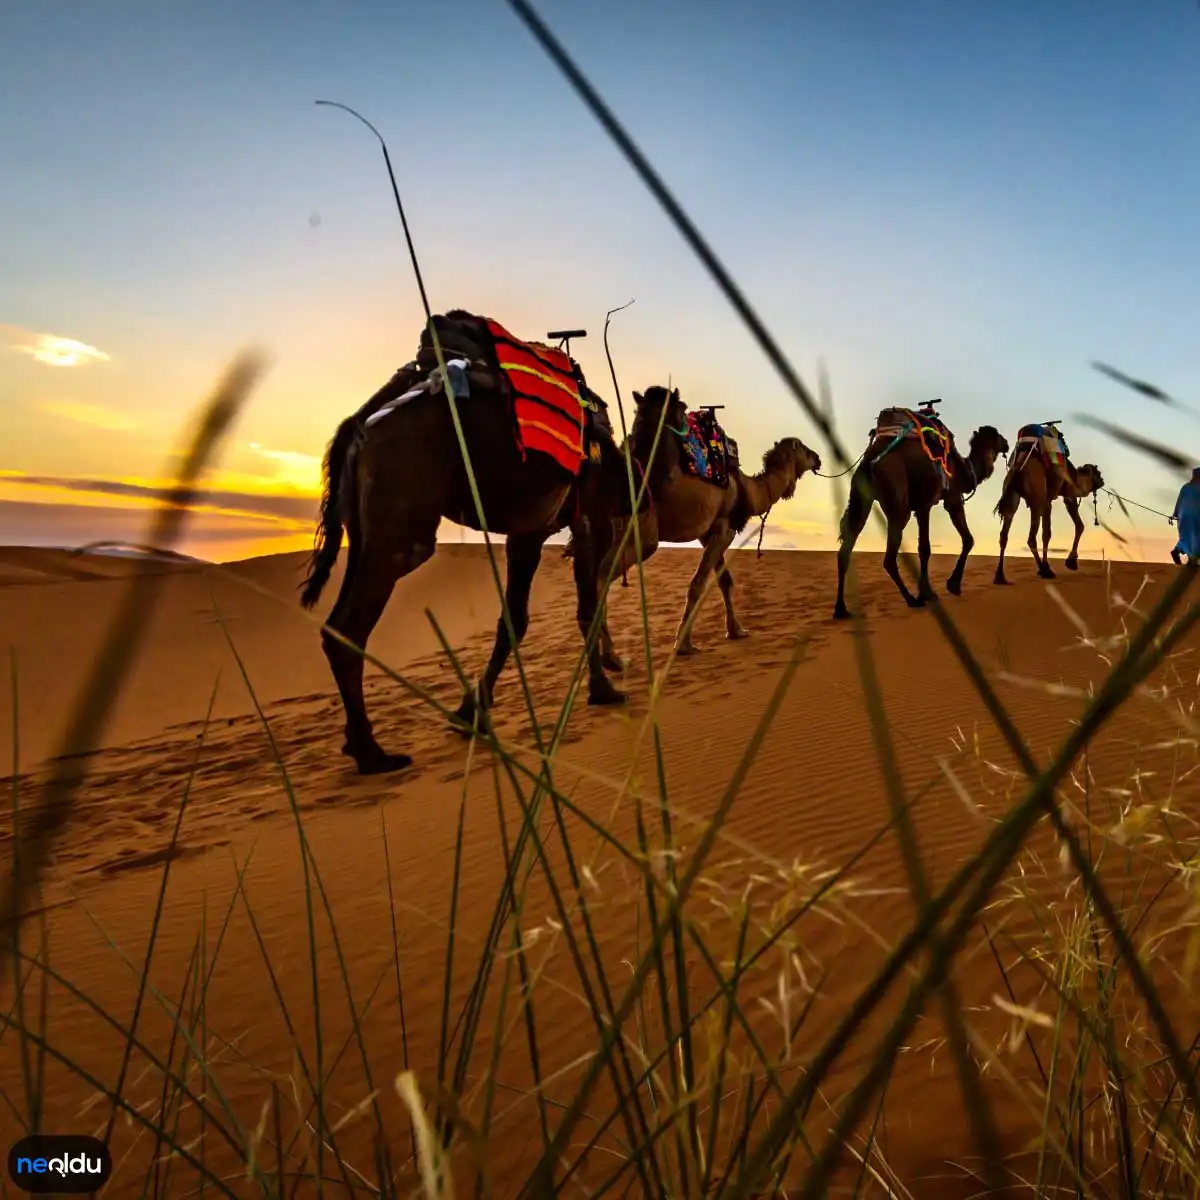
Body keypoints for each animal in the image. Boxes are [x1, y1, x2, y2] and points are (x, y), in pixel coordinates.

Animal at [300, 312, 638, 777]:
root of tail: (360, 421)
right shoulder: (588, 518)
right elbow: (586, 609)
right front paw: (604, 689)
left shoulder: (529, 530)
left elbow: (514, 618)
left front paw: (469, 712)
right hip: (402, 525)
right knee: (351, 625)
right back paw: (374, 754)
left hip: (363, 528)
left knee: (338, 622)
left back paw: (361, 746)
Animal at [566, 388, 820, 657]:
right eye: (804, 449)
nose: (818, 458)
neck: (746, 489)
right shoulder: (725, 528)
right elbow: (698, 584)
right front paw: (684, 644)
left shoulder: (709, 533)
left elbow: (724, 581)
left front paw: (736, 631)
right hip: (641, 533)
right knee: (601, 577)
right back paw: (609, 655)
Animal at [830, 408, 1008, 624]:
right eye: (997, 435)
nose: (1007, 443)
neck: (961, 469)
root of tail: (870, 460)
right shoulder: (937, 501)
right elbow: (930, 547)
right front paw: (935, 590)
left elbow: (965, 539)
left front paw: (948, 586)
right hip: (897, 498)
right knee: (889, 557)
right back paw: (911, 599)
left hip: (861, 497)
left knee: (846, 549)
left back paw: (841, 609)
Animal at [993, 427, 1104, 585]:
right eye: (1098, 473)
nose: (1102, 480)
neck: (1074, 476)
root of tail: (1019, 466)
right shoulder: (1055, 498)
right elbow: (1049, 533)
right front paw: (1068, 562)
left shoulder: (1059, 497)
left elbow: (1072, 527)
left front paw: (1070, 561)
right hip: (1037, 498)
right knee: (1031, 538)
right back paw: (1044, 570)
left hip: (1011, 495)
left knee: (1004, 534)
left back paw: (1000, 575)